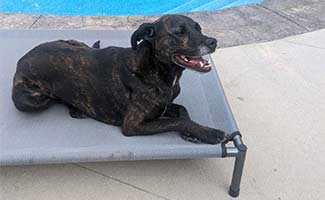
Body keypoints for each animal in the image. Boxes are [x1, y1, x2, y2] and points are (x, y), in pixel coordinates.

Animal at [12, 14, 225, 145]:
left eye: (199, 28)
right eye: (179, 32)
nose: (213, 42)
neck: (153, 67)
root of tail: (22, 59)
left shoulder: (164, 105)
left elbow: (183, 111)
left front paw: (193, 133)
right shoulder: (132, 125)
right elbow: (177, 121)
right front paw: (209, 133)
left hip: (76, 43)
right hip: (30, 101)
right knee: (53, 99)